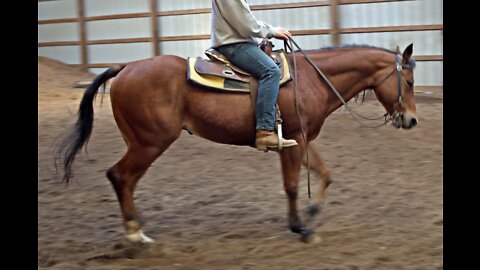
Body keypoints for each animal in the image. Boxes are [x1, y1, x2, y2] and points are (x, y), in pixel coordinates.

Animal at [55, 43, 416, 244]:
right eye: (410, 81)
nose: (411, 120)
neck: (312, 79)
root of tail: (126, 67)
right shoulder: (293, 140)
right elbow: (292, 185)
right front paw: (300, 227)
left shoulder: (300, 138)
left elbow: (324, 173)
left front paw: (311, 213)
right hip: (149, 143)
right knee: (121, 176)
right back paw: (135, 233)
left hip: (142, 142)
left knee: (122, 178)